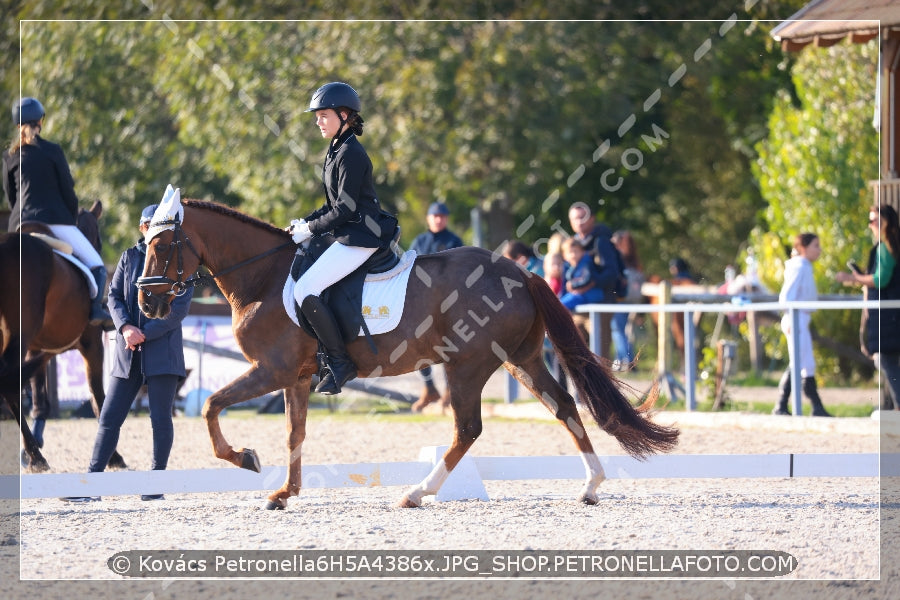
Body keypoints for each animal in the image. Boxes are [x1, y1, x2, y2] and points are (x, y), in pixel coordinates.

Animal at [0, 202, 126, 474]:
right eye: (98, 239)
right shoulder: (92, 343)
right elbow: (98, 397)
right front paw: (113, 456)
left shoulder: (36, 349)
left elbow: (40, 402)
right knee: (9, 383)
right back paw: (37, 457)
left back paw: (34, 454)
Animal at [137, 199, 680, 508]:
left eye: (162, 246)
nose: (147, 303)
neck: (264, 277)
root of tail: (519, 271)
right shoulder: (295, 377)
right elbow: (295, 433)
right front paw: (284, 494)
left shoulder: (270, 369)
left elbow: (211, 407)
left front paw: (246, 459)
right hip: (520, 361)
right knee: (565, 406)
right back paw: (591, 486)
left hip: (466, 367)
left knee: (468, 429)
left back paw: (418, 493)